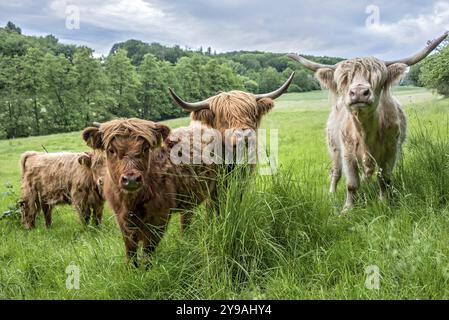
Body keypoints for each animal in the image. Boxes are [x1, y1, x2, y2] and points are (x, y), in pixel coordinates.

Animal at [288, 31, 446, 212]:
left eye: (377, 78)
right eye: (344, 79)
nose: (358, 92)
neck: (366, 131)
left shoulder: (391, 150)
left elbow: (384, 179)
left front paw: (384, 202)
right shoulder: (347, 152)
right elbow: (351, 184)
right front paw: (347, 209)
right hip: (334, 148)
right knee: (335, 172)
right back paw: (331, 194)